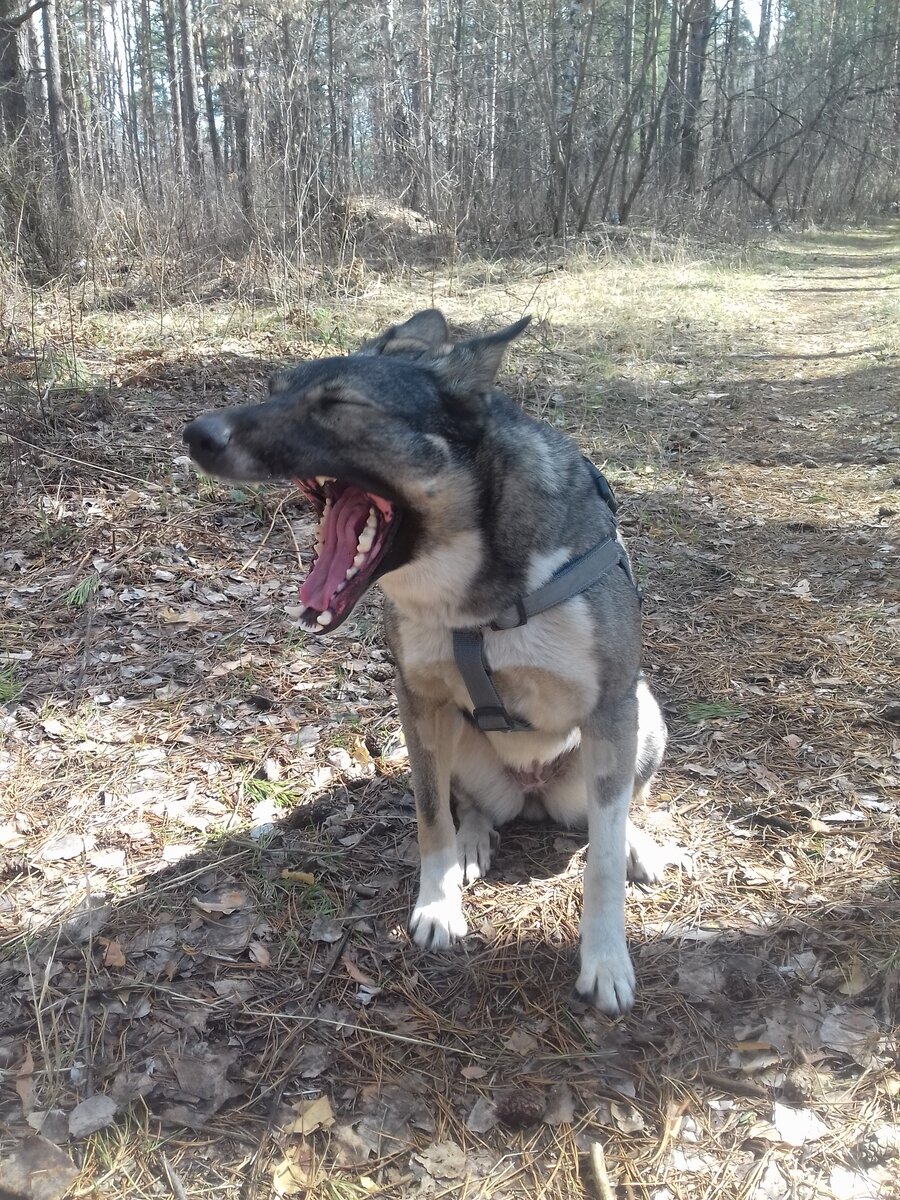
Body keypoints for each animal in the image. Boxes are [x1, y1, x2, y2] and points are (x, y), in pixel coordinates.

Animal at [183, 309, 667, 1012]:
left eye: (340, 405)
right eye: (273, 389)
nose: (195, 434)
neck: (475, 590)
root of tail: (533, 796)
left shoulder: (610, 708)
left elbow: (600, 859)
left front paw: (605, 959)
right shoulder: (419, 704)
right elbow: (431, 816)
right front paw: (438, 903)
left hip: (643, 716)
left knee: (620, 804)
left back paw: (637, 840)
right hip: (458, 741)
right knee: (473, 806)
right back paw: (474, 842)